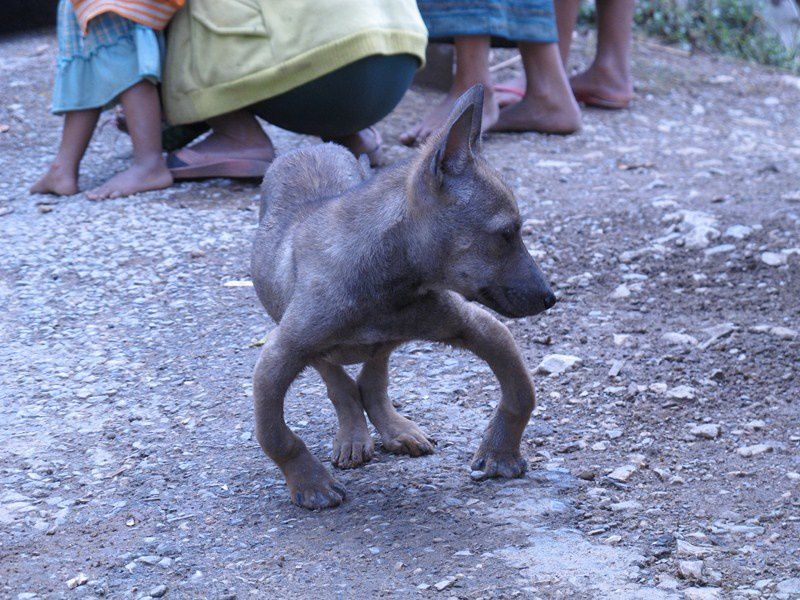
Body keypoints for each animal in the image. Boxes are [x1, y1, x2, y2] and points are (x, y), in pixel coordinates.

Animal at [250, 83, 556, 506]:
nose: (550, 298)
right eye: (507, 234)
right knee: (340, 380)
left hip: (387, 340)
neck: (387, 282)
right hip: (294, 329)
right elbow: (276, 436)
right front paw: (310, 484)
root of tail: (313, 147)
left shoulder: (477, 326)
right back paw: (353, 435)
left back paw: (396, 429)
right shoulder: (279, 355)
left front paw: (500, 453)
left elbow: (521, 392)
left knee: (373, 378)